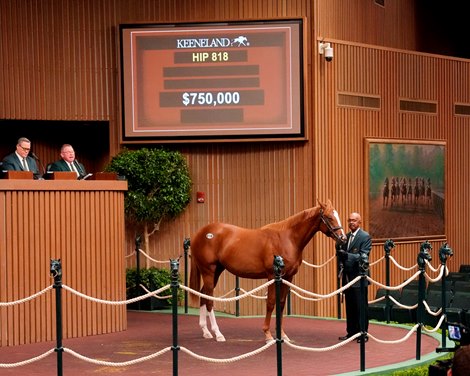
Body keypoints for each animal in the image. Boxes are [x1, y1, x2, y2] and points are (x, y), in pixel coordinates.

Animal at [188, 200, 346, 344]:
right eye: (329, 217)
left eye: (337, 215)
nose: (343, 239)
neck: (287, 238)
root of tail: (200, 233)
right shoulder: (271, 276)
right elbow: (270, 303)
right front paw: (268, 335)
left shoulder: (288, 277)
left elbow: (281, 304)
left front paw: (283, 335)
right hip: (209, 271)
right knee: (209, 300)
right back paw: (218, 333)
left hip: (217, 271)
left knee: (203, 295)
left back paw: (206, 331)